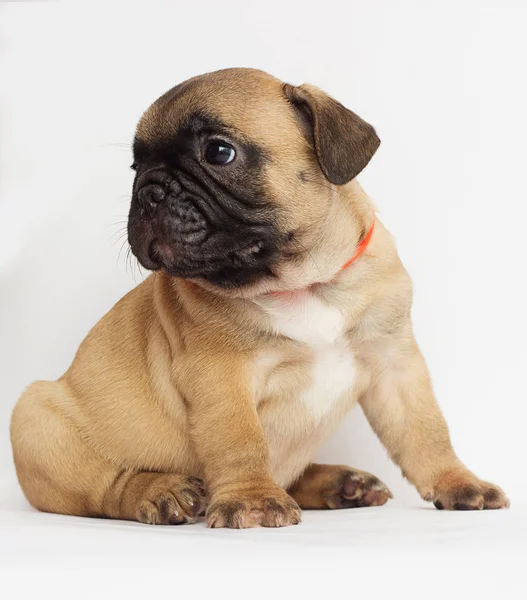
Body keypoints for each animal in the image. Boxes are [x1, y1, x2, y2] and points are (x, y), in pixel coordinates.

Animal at [11, 69, 508, 524]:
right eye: (136, 167)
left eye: (219, 152)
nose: (148, 189)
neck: (305, 282)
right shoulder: (220, 376)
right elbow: (240, 441)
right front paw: (252, 500)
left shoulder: (394, 365)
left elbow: (426, 431)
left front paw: (459, 483)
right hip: (37, 418)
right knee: (108, 488)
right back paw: (161, 492)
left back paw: (341, 483)